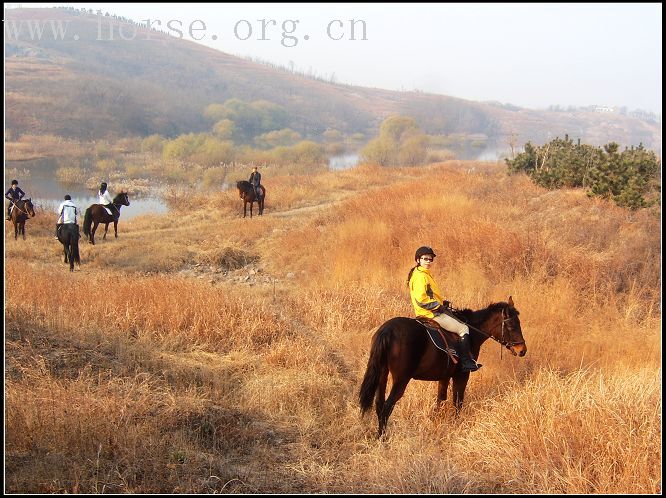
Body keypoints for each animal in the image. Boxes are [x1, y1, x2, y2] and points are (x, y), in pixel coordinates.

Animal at [360, 296, 528, 436]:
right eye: (511, 326)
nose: (522, 350)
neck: (472, 332)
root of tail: (387, 330)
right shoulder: (462, 375)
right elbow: (457, 401)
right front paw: (456, 425)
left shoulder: (444, 376)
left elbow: (440, 400)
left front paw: (437, 424)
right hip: (401, 379)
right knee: (387, 407)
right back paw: (383, 439)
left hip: (383, 374)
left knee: (379, 404)